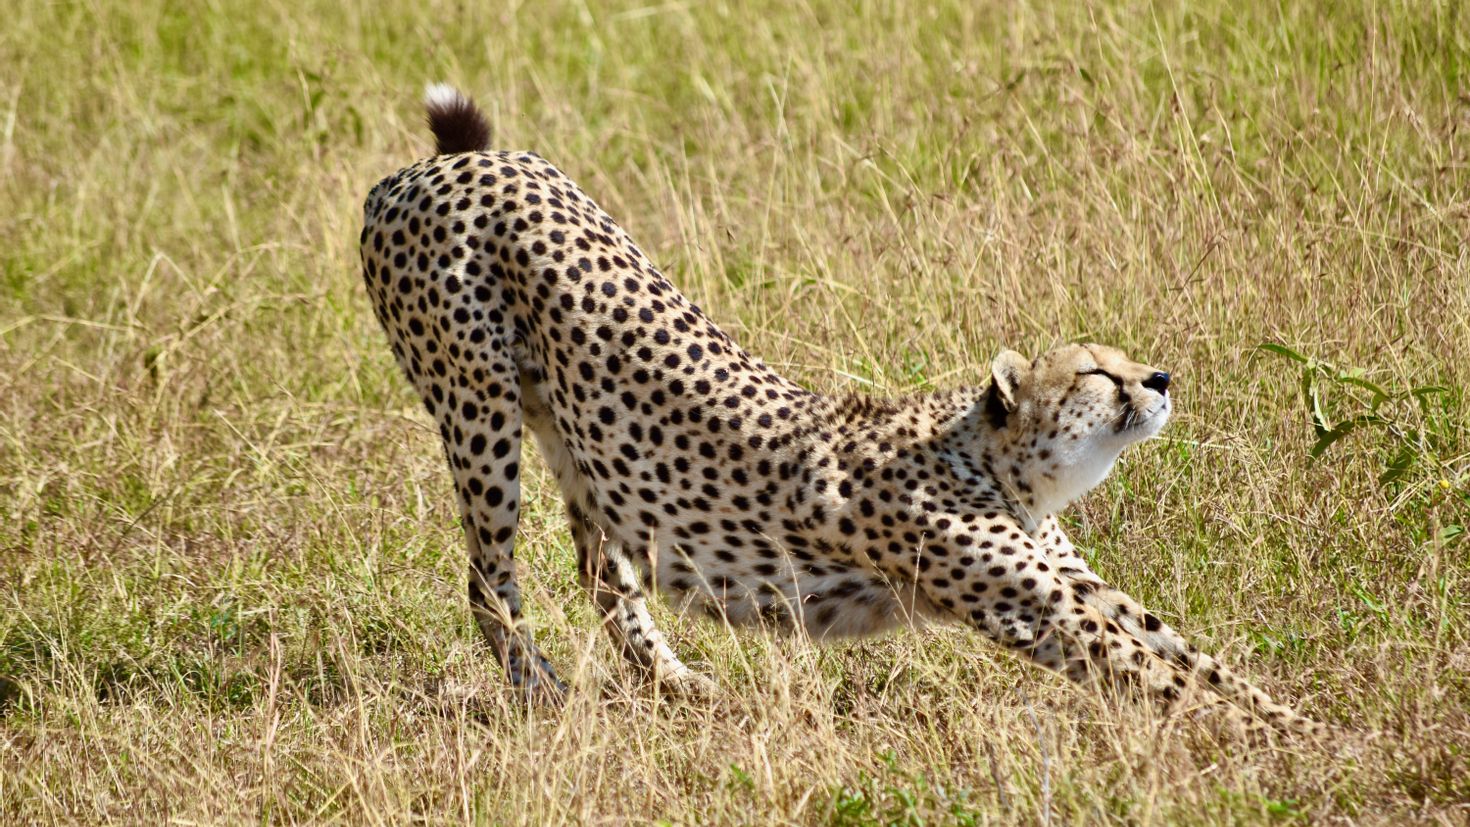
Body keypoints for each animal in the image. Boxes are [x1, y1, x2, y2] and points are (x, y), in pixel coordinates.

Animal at [361, 87, 1328, 740]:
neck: (998, 463)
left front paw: (1301, 723)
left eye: (1124, 357)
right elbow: (1161, 678)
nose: (1159, 378)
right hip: (477, 409)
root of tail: (447, 164)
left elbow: (1194, 656)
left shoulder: (1077, 583)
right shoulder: (1035, 610)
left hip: (576, 434)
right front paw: (1283, 752)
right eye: (1097, 370)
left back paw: (677, 685)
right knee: (490, 582)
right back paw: (545, 696)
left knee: (605, 573)